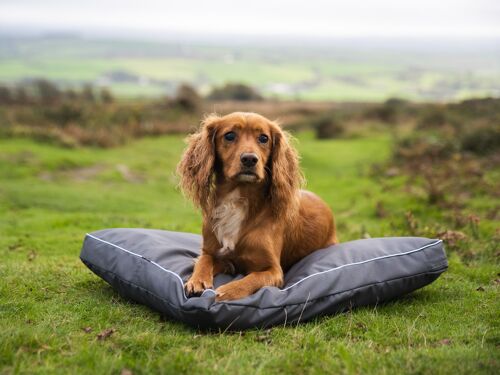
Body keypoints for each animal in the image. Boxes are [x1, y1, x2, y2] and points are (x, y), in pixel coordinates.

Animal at [178, 112, 338, 302]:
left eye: (263, 138)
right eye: (229, 135)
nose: (249, 159)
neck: (238, 199)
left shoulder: (273, 270)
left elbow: (251, 278)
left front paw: (226, 291)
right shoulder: (213, 252)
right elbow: (203, 261)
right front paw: (197, 280)